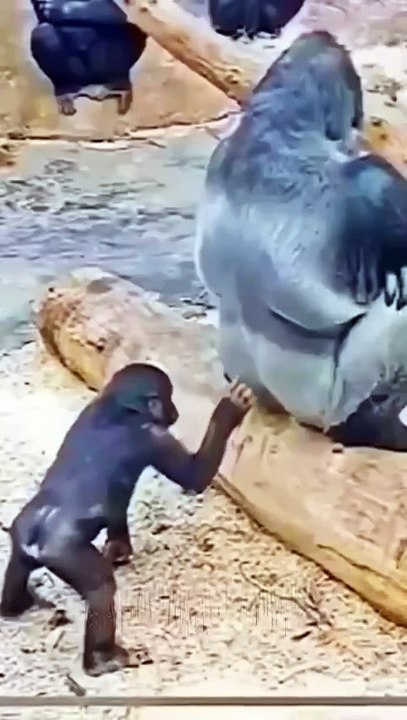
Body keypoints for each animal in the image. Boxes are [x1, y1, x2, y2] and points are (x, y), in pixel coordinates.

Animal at [0, 363, 254, 676]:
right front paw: (230, 409)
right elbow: (194, 475)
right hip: (62, 551)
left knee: (17, 567)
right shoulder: (153, 435)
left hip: (20, 533)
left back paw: (17, 604)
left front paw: (118, 548)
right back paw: (101, 658)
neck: (119, 408)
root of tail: (36, 534)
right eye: (168, 399)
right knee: (101, 589)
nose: (175, 411)